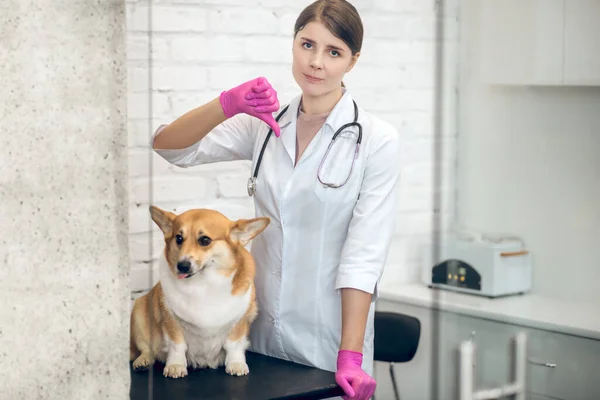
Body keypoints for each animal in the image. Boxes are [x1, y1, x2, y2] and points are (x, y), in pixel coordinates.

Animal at [132, 206, 272, 378]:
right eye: (179, 238)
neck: (204, 283)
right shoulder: (170, 319)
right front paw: (175, 365)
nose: (182, 266)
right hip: (139, 314)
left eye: (205, 240)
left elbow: (234, 345)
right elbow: (177, 345)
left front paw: (236, 364)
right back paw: (142, 361)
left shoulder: (240, 320)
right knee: (146, 348)